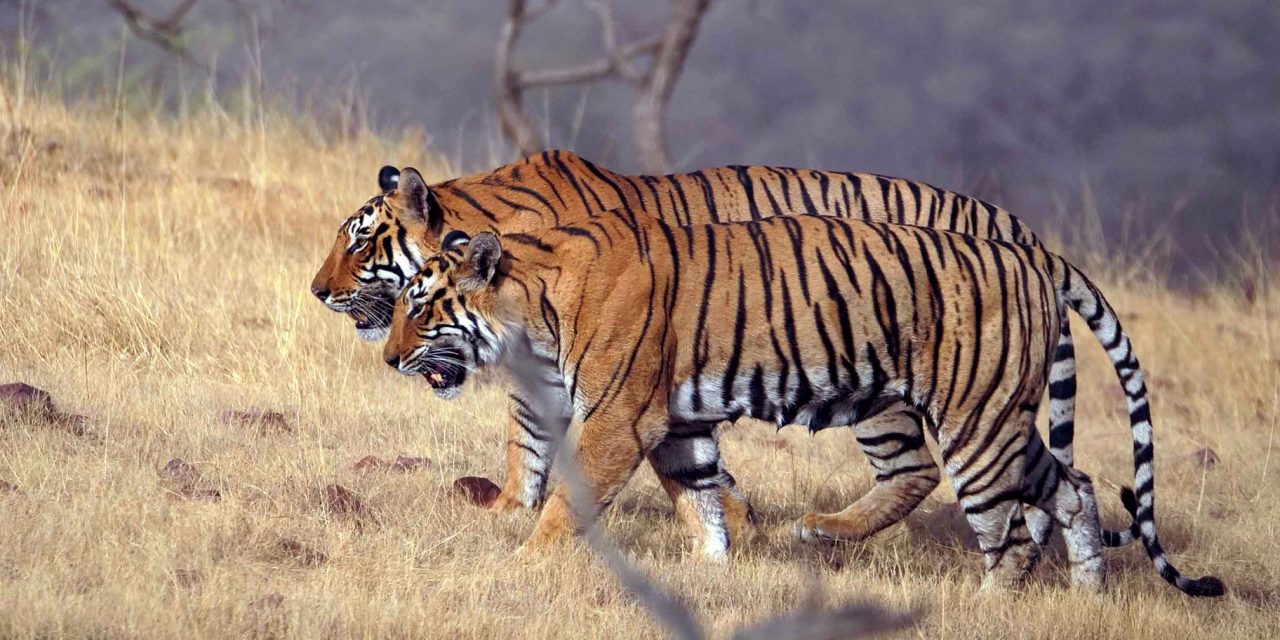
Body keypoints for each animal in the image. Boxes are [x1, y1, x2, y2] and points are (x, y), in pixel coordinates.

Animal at [310, 151, 1118, 547]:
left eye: (361, 239)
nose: (317, 291)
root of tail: (1026, 235)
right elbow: (538, 449)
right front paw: (508, 510)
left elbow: (544, 444)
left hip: (888, 386)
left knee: (921, 470)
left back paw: (824, 530)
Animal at [380, 209, 1224, 596]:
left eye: (419, 307)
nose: (386, 358)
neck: (537, 301)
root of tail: (1036, 255)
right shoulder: (678, 421)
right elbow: (699, 495)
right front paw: (714, 569)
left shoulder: (619, 418)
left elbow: (566, 498)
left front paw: (522, 563)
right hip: (924, 409)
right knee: (1068, 486)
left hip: (976, 424)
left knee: (1010, 520)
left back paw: (990, 603)